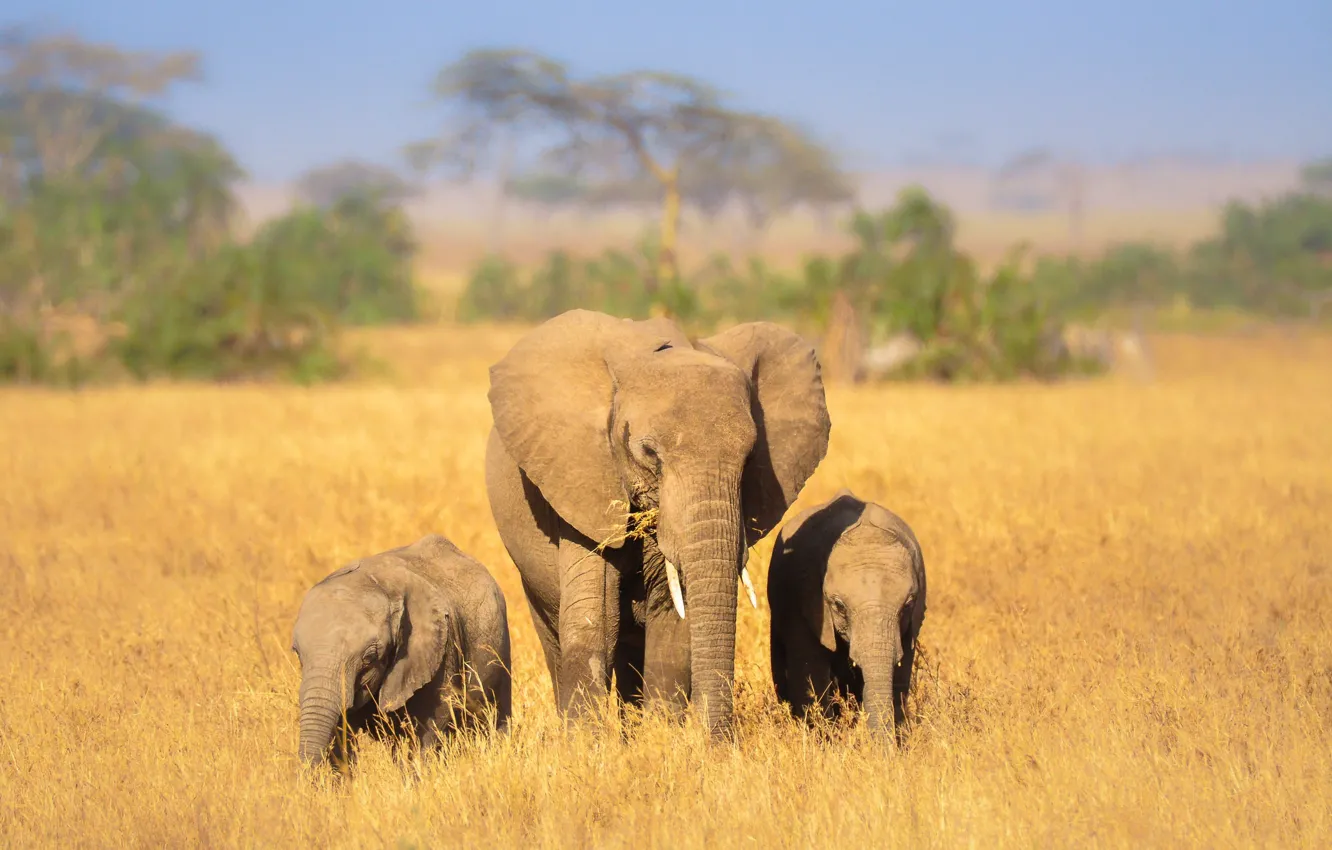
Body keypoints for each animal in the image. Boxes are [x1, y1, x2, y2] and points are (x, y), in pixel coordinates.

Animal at [484, 309, 830, 739]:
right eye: (649, 453)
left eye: (750, 458)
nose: (717, 738)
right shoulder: (582, 480)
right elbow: (598, 617)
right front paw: (586, 744)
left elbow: (671, 618)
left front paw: (662, 737)